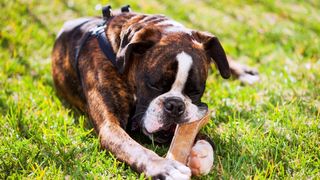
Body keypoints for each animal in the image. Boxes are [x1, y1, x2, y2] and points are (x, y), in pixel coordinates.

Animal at [51, 5, 258, 179]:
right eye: (155, 85)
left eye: (195, 91)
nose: (175, 106)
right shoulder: (110, 127)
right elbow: (135, 148)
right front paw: (165, 167)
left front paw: (202, 152)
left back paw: (243, 72)